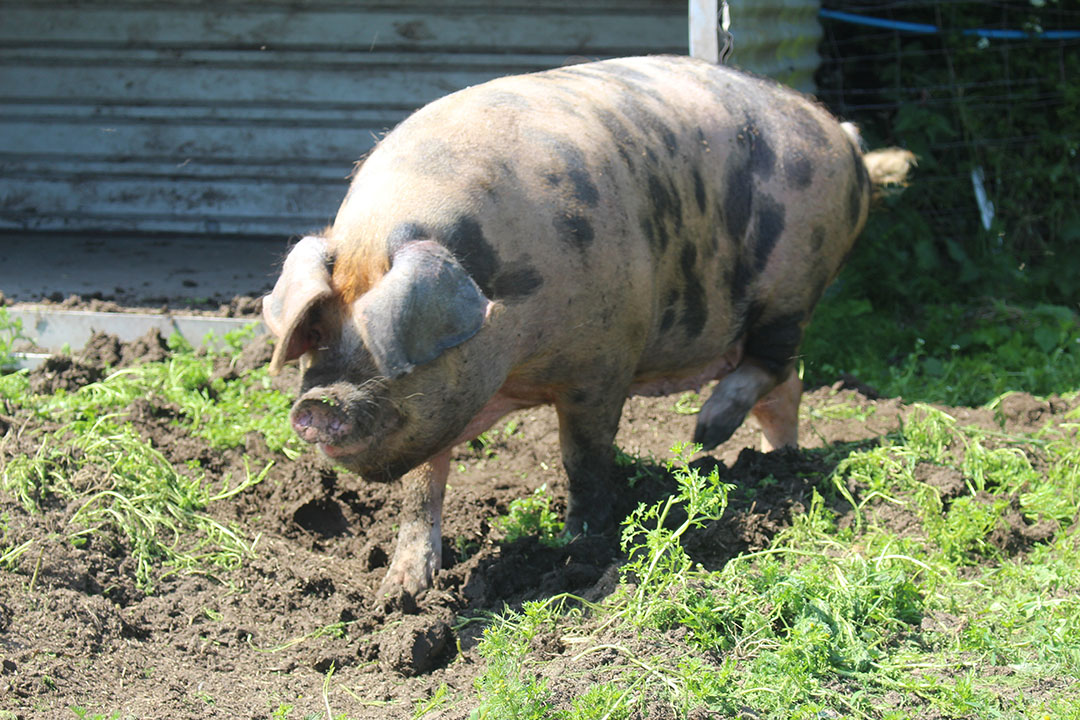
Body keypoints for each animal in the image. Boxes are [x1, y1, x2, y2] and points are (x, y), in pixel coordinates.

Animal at [261, 53, 911, 600]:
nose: (317, 404)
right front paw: (398, 593)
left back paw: (705, 435)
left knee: (773, 363)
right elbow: (422, 488)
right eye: (318, 334)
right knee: (787, 386)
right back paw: (773, 462)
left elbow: (584, 459)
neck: (514, 362)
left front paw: (578, 546)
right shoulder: (438, 412)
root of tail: (842, 134)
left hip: (797, 280)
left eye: (386, 349)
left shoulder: (603, 364)